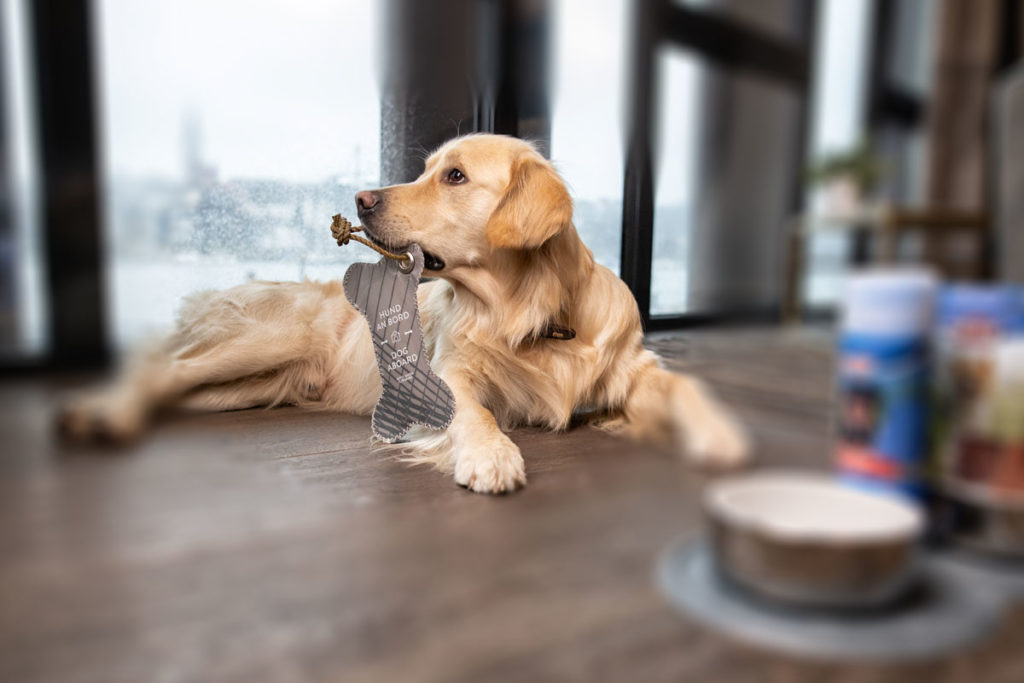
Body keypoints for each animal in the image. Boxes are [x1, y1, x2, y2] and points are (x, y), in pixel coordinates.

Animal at [61, 133, 753, 493]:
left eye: (455, 176)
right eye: (426, 169)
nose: (360, 198)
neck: (530, 314)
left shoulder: (633, 369)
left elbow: (686, 386)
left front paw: (721, 435)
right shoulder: (447, 375)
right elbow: (474, 411)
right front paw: (492, 455)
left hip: (250, 385)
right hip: (261, 342)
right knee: (159, 369)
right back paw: (100, 413)